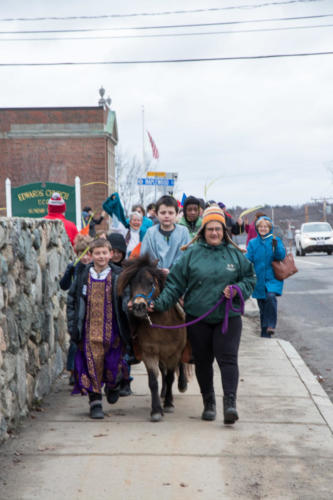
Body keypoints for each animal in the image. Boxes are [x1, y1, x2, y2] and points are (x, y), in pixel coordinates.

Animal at [116, 254, 187, 422]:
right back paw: (163, 392)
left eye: (150, 283)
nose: (138, 306)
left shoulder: (173, 353)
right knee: (162, 371)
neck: (162, 325)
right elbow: (154, 380)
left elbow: (170, 376)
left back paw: (182, 384)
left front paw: (168, 404)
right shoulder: (150, 353)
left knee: (179, 366)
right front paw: (156, 410)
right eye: (131, 283)